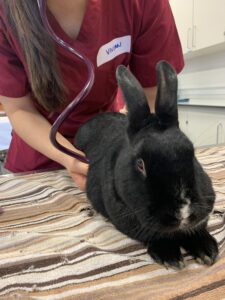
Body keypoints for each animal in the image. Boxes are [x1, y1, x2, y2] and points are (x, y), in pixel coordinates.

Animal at [74, 61, 219, 270]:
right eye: (140, 165)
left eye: (191, 153)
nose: (182, 213)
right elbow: (156, 235)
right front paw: (171, 257)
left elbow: (195, 230)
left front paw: (207, 251)